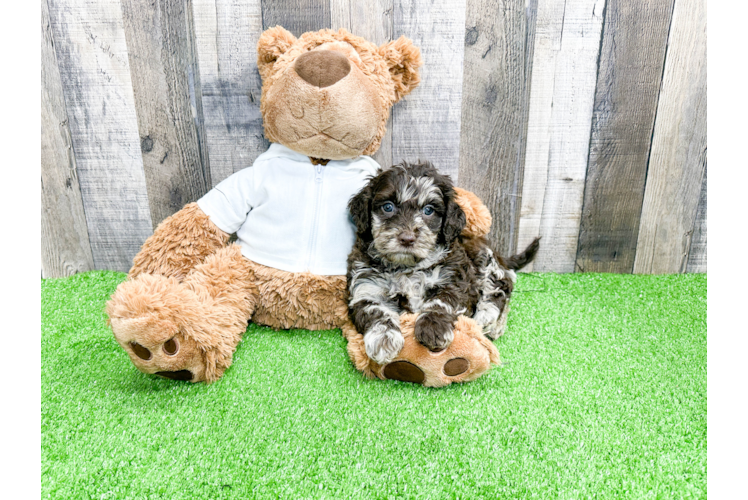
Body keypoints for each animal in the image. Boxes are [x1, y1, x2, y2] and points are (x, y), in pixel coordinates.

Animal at [344, 162, 536, 366]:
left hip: (484, 260)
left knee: (503, 284)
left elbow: (441, 301)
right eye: (388, 207)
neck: (407, 268)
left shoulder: (454, 278)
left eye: (428, 210)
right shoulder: (366, 286)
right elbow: (375, 310)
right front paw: (384, 339)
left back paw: (489, 318)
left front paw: (433, 329)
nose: (407, 238)